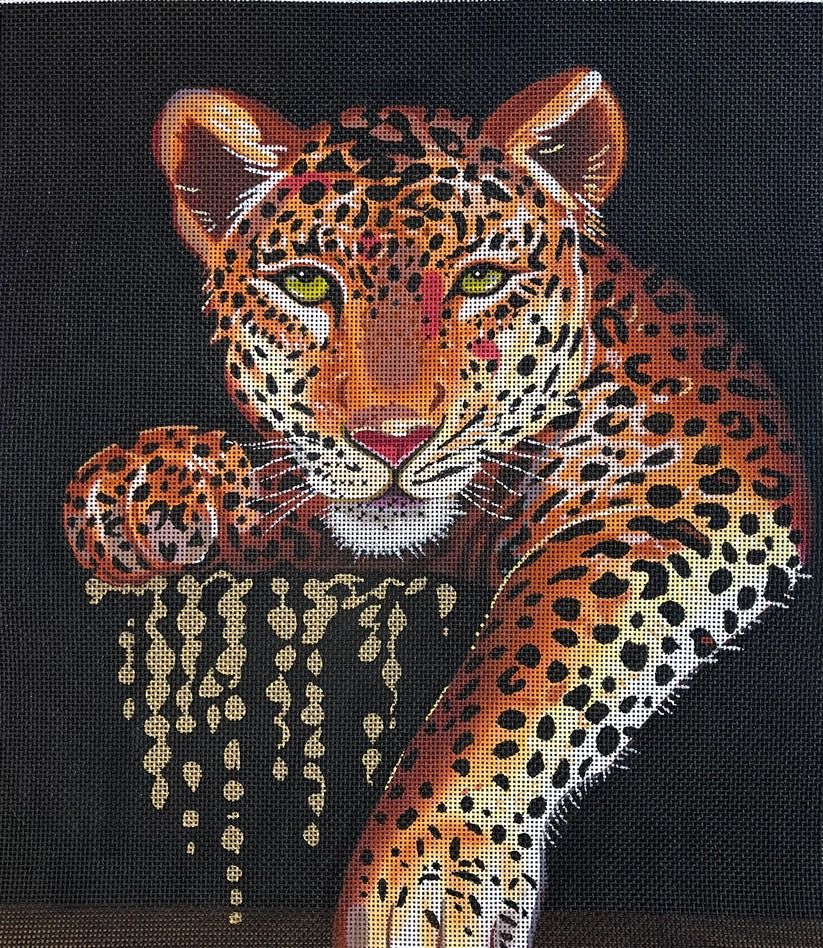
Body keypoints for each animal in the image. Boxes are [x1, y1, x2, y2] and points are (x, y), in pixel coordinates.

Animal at [63, 69, 810, 947]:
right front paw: (141, 486)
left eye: (480, 280)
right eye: (306, 283)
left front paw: (416, 886)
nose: (393, 440)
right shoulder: (426, 530)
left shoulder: (696, 486)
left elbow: (522, 666)